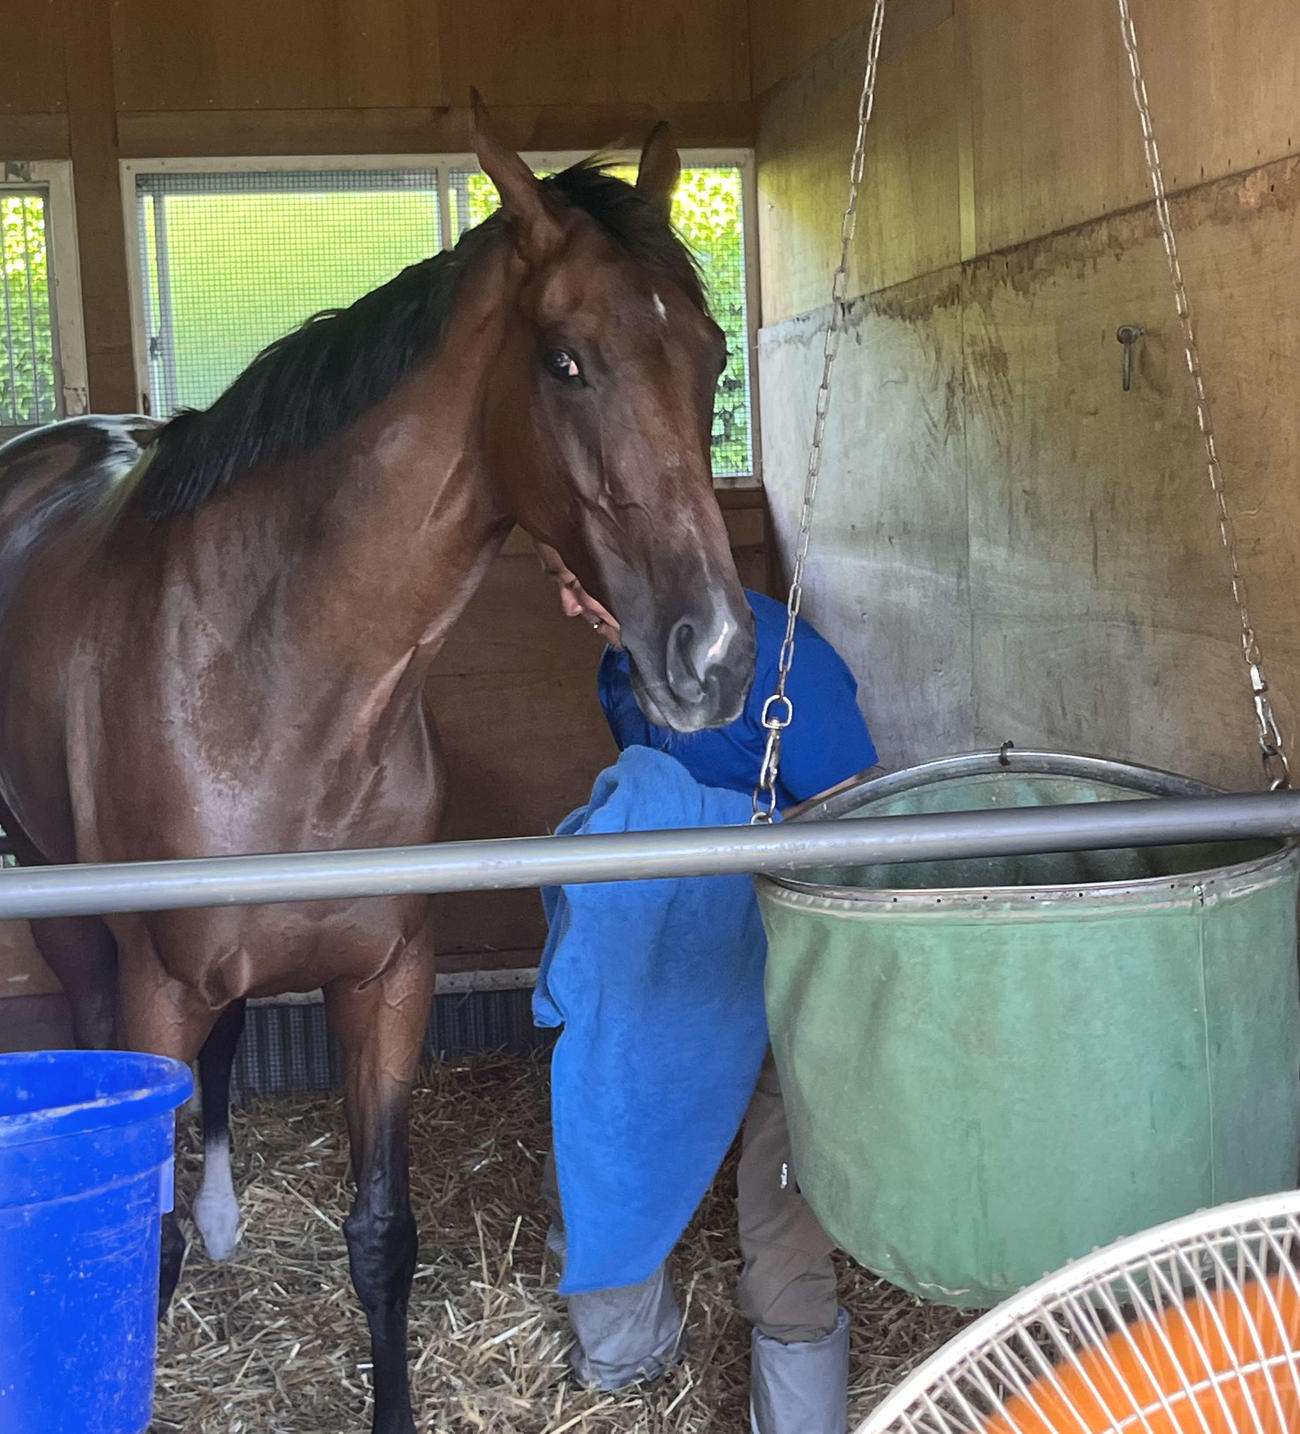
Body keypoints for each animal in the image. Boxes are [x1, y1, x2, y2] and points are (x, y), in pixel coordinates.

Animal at [0, 98, 755, 1434]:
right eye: (565, 361)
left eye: (713, 355)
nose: (710, 656)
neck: (268, 676)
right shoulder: (161, 984)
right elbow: (141, 1241)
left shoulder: (387, 980)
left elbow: (381, 1238)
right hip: (63, 899)